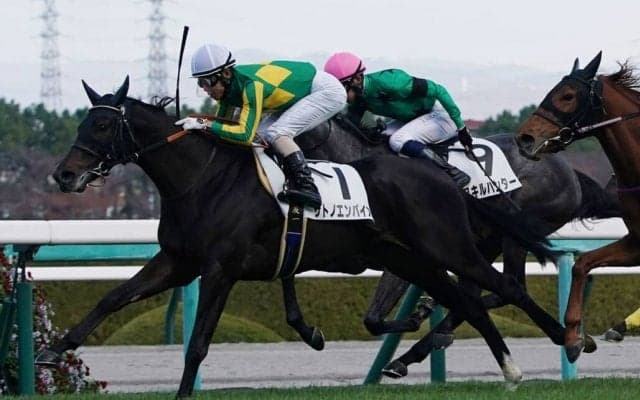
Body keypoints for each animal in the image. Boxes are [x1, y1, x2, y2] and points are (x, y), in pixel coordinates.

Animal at [41, 76, 568, 397]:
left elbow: (199, 342)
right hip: (409, 258)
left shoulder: (219, 268)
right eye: (84, 121)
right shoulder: (177, 260)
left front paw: (184, 391)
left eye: (103, 123)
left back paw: (565, 340)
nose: (64, 175)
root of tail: (442, 175)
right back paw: (497, 363)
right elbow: (114, 297)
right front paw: (53, 350)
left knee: (503, 288)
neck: (202, 179)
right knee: (468, 301)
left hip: (448, 246)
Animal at [291, 119, 620, 378]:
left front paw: (421, 313)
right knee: (487, 290)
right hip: (482, 243)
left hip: (512, 231)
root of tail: (570, 171)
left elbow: (373, 318)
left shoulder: (402, 258)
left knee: (505, 286)